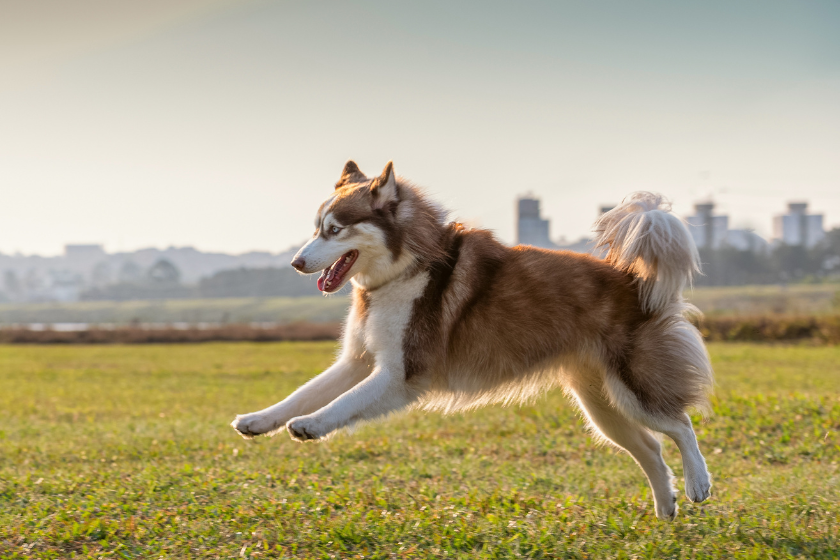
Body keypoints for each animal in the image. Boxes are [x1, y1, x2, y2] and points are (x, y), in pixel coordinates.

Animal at [231, 160, 716, 520]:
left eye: (335, 230)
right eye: (317, 228)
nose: (296, 263)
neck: (404, 269)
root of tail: (632, 277)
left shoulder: (400, 374)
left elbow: (344, 403)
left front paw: (311, 426)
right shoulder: (358, 361)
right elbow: (302, 393)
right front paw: (259, 420)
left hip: (633, 389)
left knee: (681, 425)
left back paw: (698, 483)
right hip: (601, 407)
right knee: (652, 447)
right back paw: (665, 509)